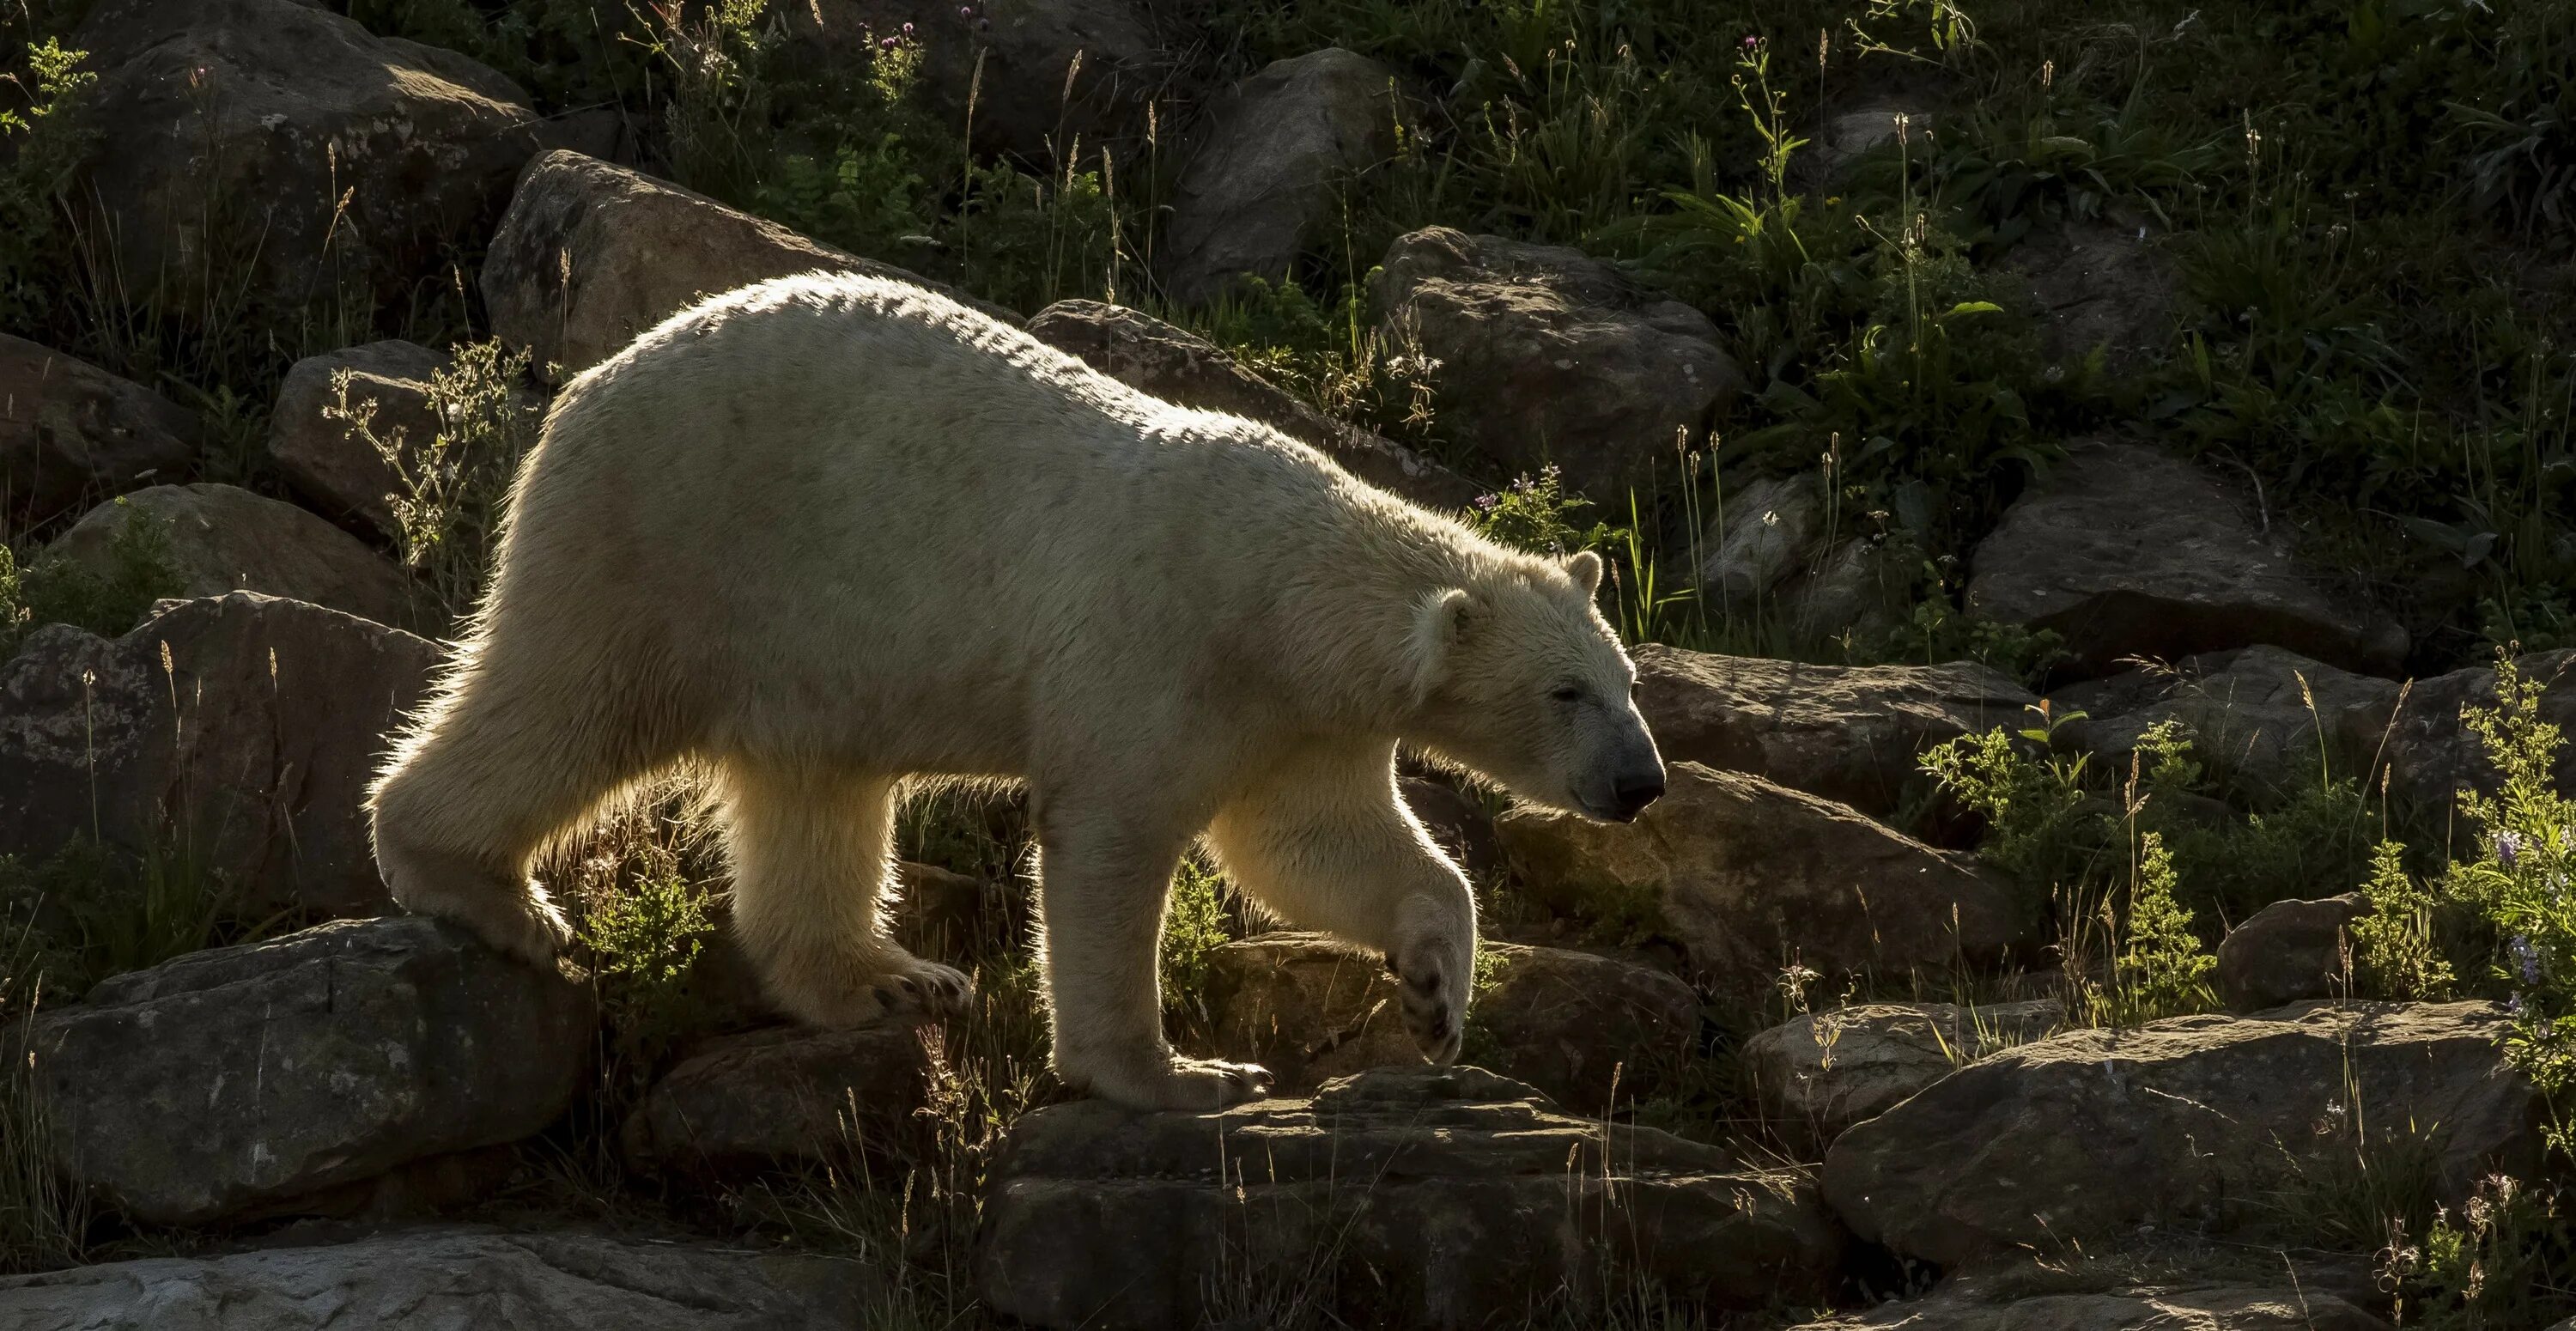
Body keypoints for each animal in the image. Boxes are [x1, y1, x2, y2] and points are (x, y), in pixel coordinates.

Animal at [374, 267, 1669, 1102]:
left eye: (1625, 679)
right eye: (1566, 692)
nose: (1643, 783)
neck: (1287, 583)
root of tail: (586, 383)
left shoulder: (1300, 719)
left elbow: (1311, 842)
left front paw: (1436, 991)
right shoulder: (1167, 638)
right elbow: (1111, 834)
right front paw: (1185, 1071)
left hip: (801, 643)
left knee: (814, 794)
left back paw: (892, 978)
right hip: (673, 537)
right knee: (570, 699)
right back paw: (484, 888)